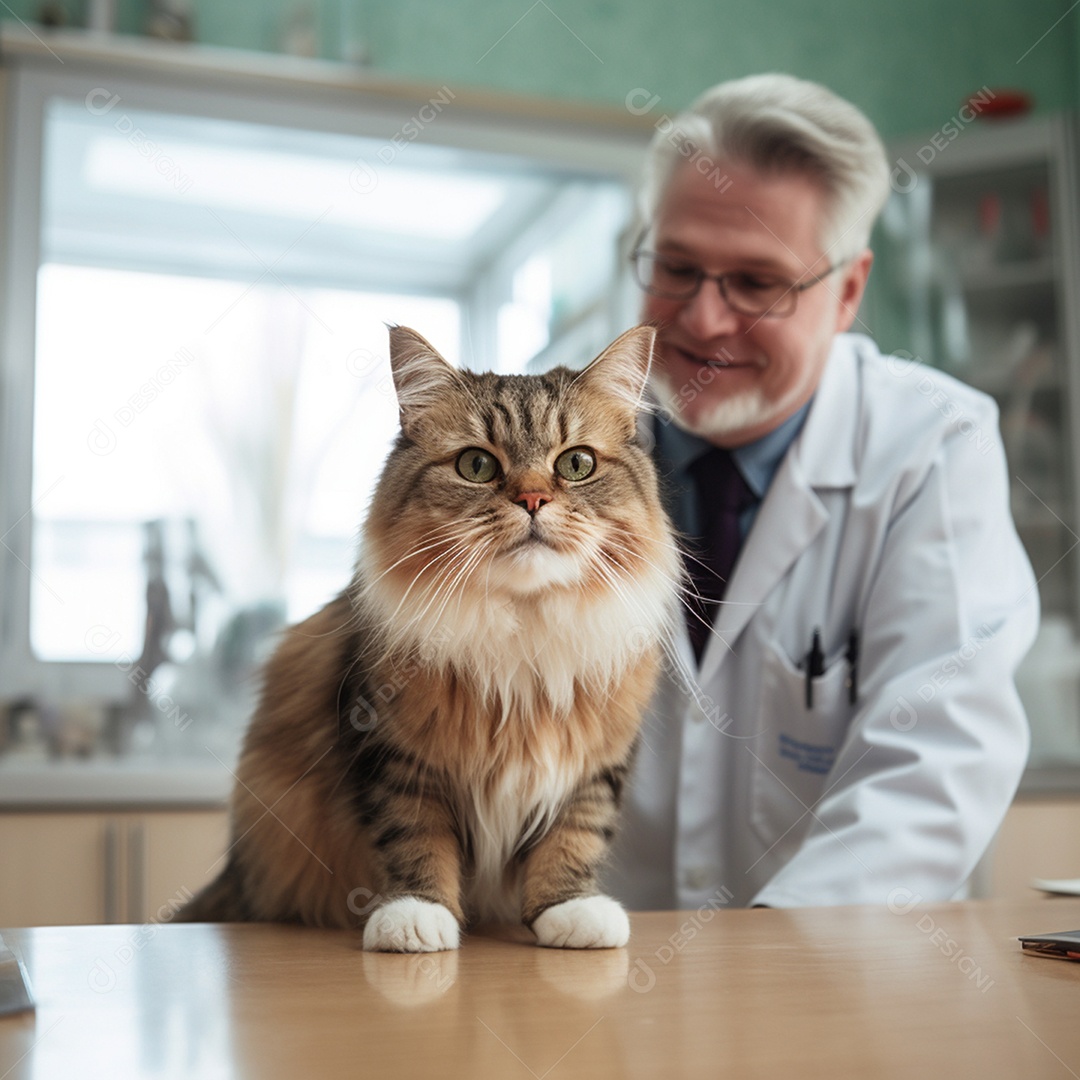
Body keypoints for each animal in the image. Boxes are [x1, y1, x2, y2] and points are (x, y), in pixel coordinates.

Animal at [180, 324, 678, 950]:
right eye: (477, 466)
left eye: (577, 464)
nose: (533, 499)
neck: (522, 630)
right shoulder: (395, 758)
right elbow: (416, 843)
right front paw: (417, 917)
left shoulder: (595, 764)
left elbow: (574, 836)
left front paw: (569, 912)